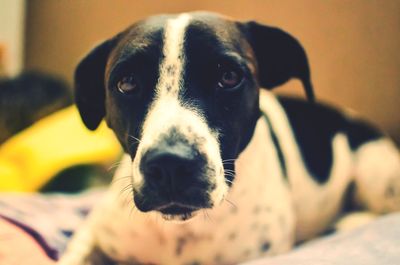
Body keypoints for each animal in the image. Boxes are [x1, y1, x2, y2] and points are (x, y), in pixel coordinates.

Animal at [57, 11, 400, 264]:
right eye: (126, 82)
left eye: (229, 76)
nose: (170, 164)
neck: (182, 232)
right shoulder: (94, 236)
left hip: (376, 174)